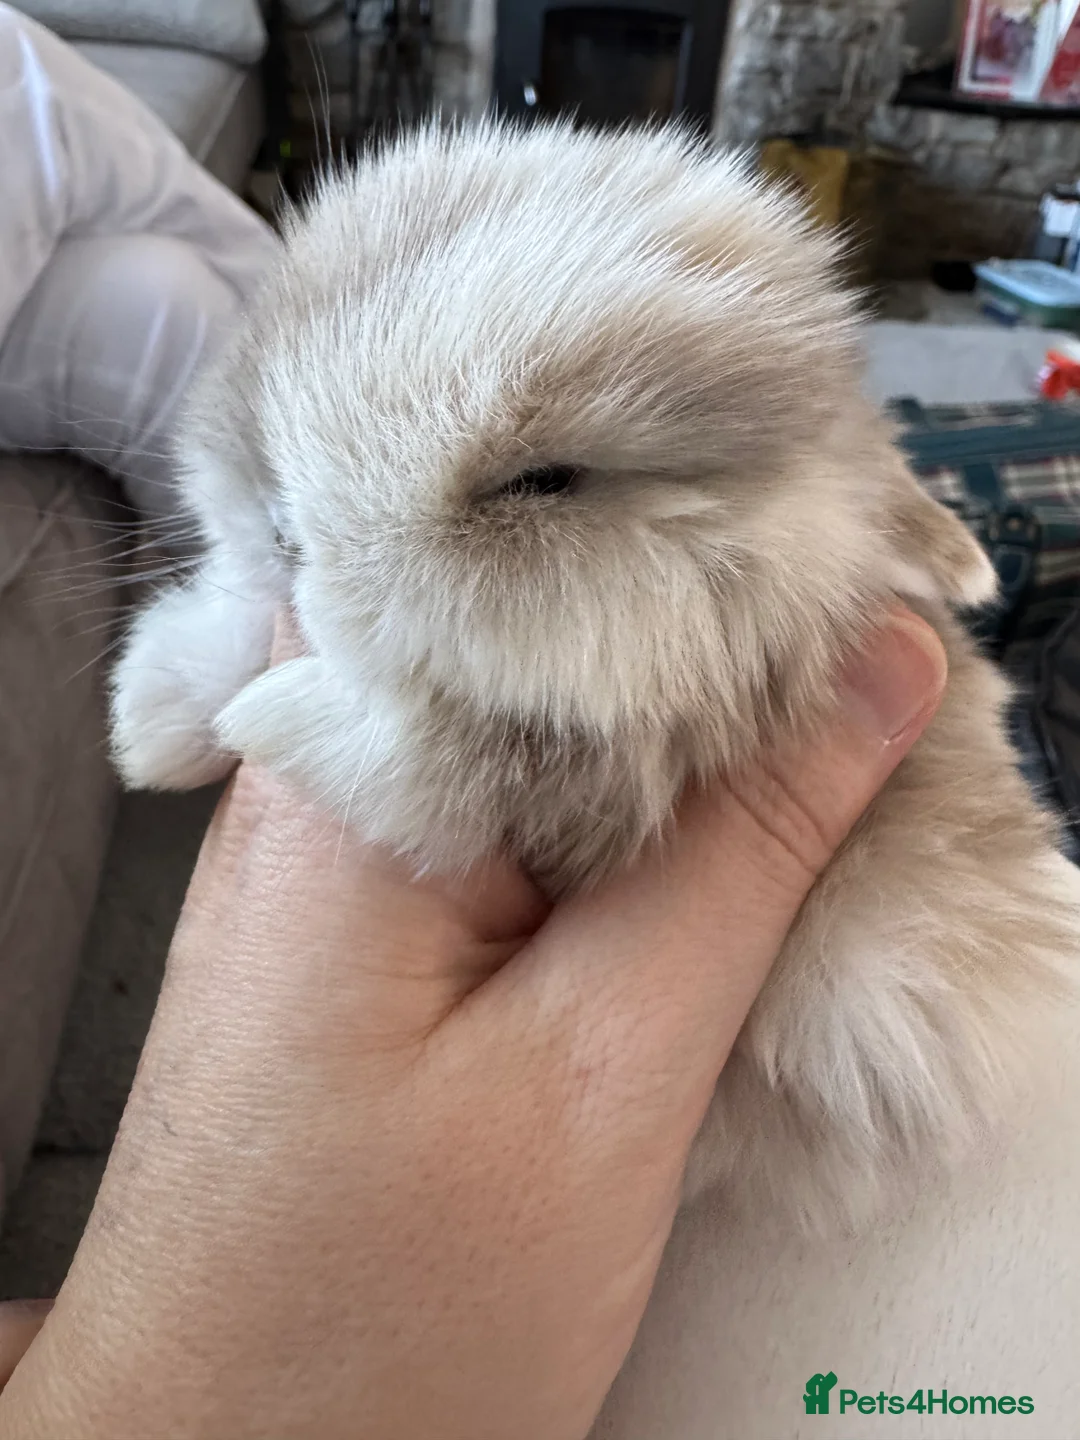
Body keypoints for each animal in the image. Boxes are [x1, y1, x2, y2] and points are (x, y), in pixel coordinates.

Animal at [110, 120, 1080, 1230]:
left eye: (544, 480)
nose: (288, 538)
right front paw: (151, 719)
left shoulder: (596, 783)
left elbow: (436, 763)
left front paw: (263, 716)